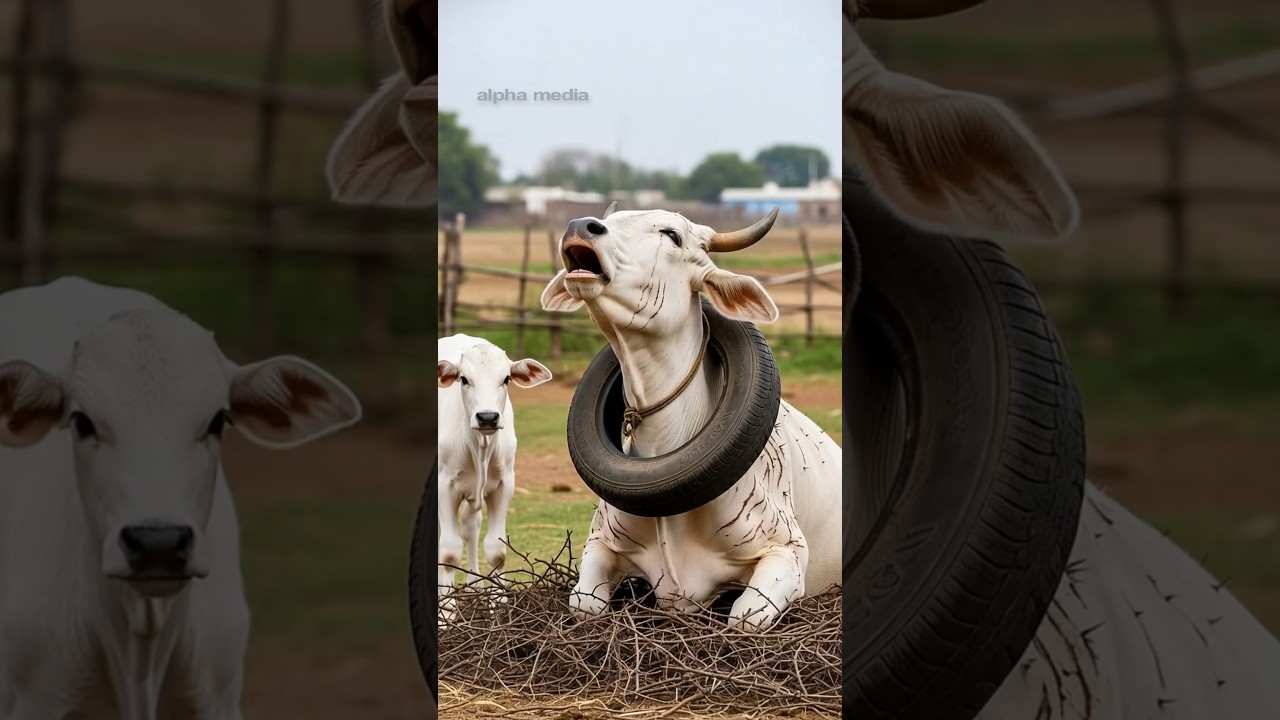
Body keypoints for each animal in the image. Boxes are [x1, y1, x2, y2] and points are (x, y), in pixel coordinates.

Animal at [436, 334, 552, 623]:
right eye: (463, 379)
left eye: (506, 378)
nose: (487, 417)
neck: (480, 445)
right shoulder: (445, 487)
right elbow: (449, 550)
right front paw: (446, 612)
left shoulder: (504, 485)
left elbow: (496, 551)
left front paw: (499, 604)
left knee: (471, 525)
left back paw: (473, 584)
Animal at [539, 209, 843, 632]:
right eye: (611, 218)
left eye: (672, 235)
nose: (580, 226)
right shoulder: (600, 542)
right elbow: (585, 604)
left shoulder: (785, 553)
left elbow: (744, 618)